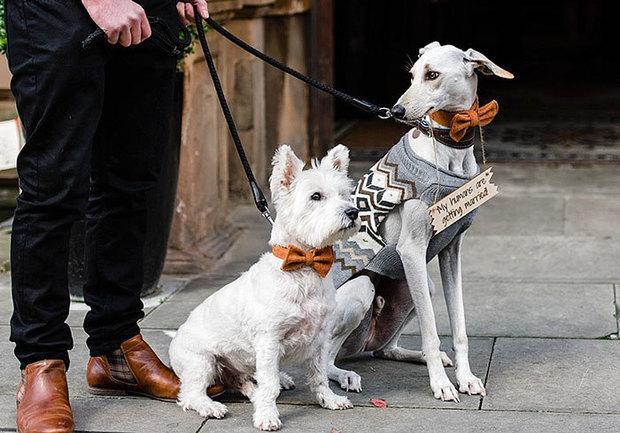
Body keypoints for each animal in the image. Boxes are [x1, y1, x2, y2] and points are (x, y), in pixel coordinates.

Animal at [172, 144, 360, 428]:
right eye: (316, 196)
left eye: (345, 194)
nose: (353, 212)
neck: (304, 267)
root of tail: (174, 339)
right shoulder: (269, 340)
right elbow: (269, 385)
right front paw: (267, 416)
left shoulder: (320, 337)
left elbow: (318, 375)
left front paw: (329, 399)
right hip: (202, 362)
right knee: (191, 393)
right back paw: (210, 406)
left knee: (247, 382)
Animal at [326, 42, 512, 400]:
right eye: (412, 75)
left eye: (433, 74)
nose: (397, 111)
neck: (449, 150)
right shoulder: (411, 251)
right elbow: (431, 328)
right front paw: (441, 384)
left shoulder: (452, 249)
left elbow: (459, 327)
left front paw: (466, 378)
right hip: (362, 289)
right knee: (321, 359)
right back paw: (345, 376)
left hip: (419, 287)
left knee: (385, 349)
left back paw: (420, 355)